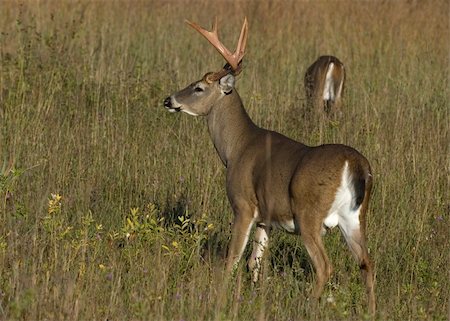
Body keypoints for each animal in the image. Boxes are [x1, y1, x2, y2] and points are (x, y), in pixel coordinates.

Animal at [163, 17, 374, 312]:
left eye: (198, 88)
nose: (168, 100)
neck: (236, 148)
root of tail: (355, 164)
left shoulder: (243, 205)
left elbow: (233, 259)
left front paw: (221, 299)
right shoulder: (266, 218)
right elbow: (254, 262)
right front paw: (253, 297)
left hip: (309, 215)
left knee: (324, 266)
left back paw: (307, 306)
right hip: (355, 218)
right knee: (367, 264)